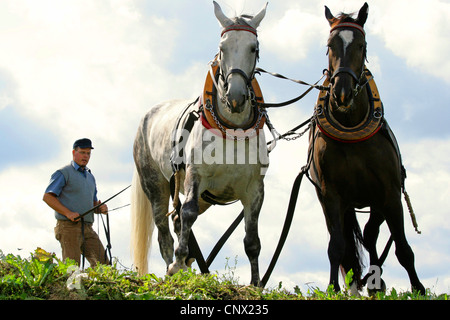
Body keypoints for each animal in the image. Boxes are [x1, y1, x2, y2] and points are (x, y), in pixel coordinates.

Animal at [310, 2, 426, 294]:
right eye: (329, 45)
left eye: (361, 45)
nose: (341, 92)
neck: (351, 125)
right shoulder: (331, 195)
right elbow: (337, 246)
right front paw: (333, 288)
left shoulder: (390, 194)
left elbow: (403, 249)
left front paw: (418, 288)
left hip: (377, 201)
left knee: (372, 234)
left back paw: (376, 281)